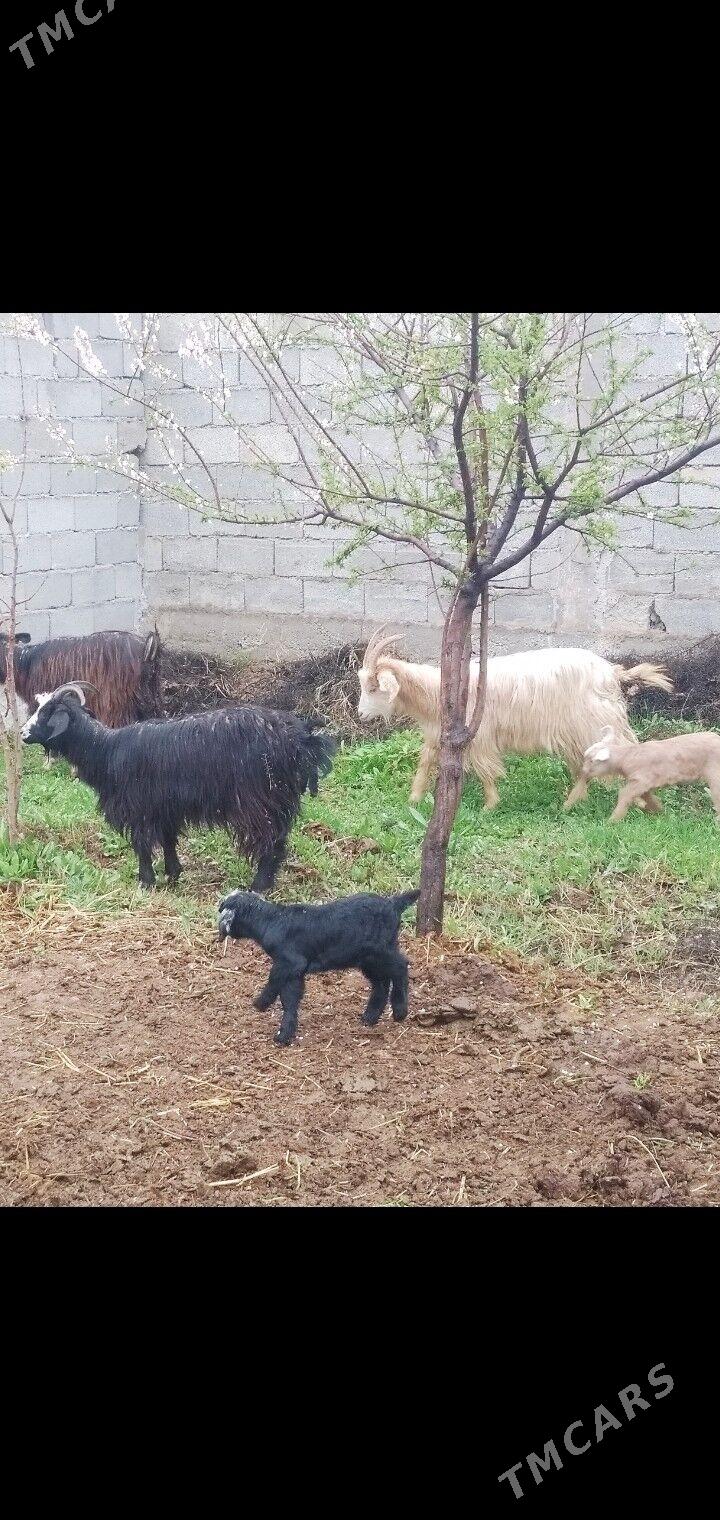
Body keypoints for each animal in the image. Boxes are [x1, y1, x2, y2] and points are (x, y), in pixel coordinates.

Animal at [21, 684, 337, 891]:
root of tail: (302, 740)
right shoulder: (165, 806)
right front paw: (173, 874)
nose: (23, 733)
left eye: (47, 714)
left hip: (261, 800)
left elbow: (142, 844)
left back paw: (259, 886)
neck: (105, 751)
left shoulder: (139, 807)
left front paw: (146, 882)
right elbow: (168, 840)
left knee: (271, 841)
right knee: (280, 840)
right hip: (278, 798)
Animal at [218, 887, 419, 1045]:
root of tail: (393, 904)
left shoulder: (289, 963)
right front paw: (285, 1035)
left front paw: (261, 1004)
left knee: (401, 966)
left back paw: (400, 1011)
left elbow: (275, 982)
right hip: (368, 959)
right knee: (381, 983)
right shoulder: (295, 972)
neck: (271, 921)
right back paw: (370, 1017)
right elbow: (290, 999)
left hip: (379, 951)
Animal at [357, 629, 673, 810]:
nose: (361, 714)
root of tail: (612, 671)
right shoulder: (439, 734)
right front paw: (413, 799)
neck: (439, 691)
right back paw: (571, 802)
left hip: (595, 721)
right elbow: (424, 762)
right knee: (583, 765)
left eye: (373, 687)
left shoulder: (479, 734)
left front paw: (490, 806)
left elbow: (486, 769)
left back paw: (640, 801)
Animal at [566, 724, 720, 821]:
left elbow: (624, 794)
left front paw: (613, 820)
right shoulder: (644, 784)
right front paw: (658, 811)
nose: (582, 771)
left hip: (715, 773)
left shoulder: (641, 780)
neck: (626, 756)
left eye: (591, 761)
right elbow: (648, 797)